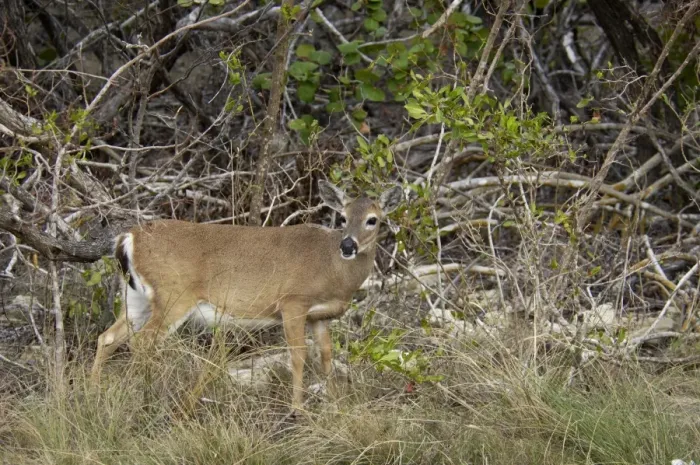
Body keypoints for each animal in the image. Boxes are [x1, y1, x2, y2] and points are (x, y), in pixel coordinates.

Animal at [90, 180, 403, 410]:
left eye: (373, 220)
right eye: (343, 217)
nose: (348, 245)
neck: (332, 268)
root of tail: (128, 238)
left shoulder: (321, 316)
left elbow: (325, 357)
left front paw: (337, 407)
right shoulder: (292, 302)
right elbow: (298, 355)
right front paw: (297, 410)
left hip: (136, 296)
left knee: (108, 337)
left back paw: (94, 393)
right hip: (173, 295)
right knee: (142, 342)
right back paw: (144, 395)